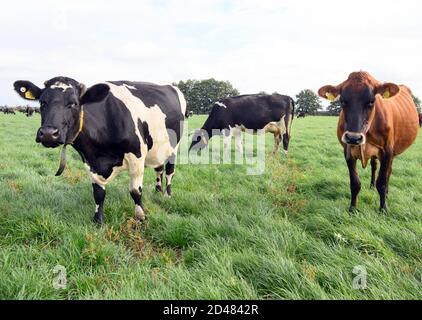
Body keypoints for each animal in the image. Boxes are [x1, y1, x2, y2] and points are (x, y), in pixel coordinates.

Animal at [14, 76, 186, 225]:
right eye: (42, 102)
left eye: (74, 103)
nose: (49, 133)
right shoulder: (90, 161)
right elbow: (98, 194)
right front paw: (98, 220)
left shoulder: (136, 155)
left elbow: (135, 191)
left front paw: (141, 216)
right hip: (158, 148)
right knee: (159, 169)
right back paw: (157, 191)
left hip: (174, 147)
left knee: (169, 171)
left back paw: (167, 195)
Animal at [318, 72, 420, 212]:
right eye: (342, 101)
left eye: (372, 101)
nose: (353, 138)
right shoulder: (348, 151)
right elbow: (355, 183)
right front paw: (352, 209)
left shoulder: (387, 151)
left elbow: (382, 182)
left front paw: (383, 209)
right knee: (374, 166)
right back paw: (372, 186)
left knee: (388, 172)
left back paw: (386, 194)